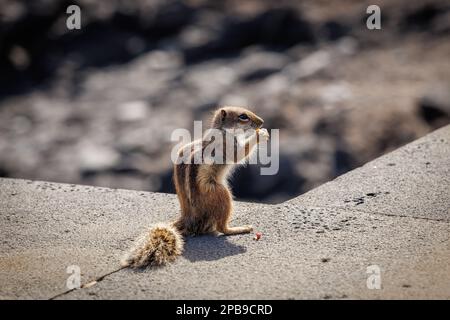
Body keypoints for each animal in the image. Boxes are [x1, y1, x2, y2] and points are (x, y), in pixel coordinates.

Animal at [121, 107, 268, 268]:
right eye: (243, 116)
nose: (262, 122)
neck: (222, 130)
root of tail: (189, 217)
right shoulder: (226, 146)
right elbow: (239, 154)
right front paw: (260, 135)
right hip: (221, 193)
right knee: (221, 228)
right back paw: (240, 228)